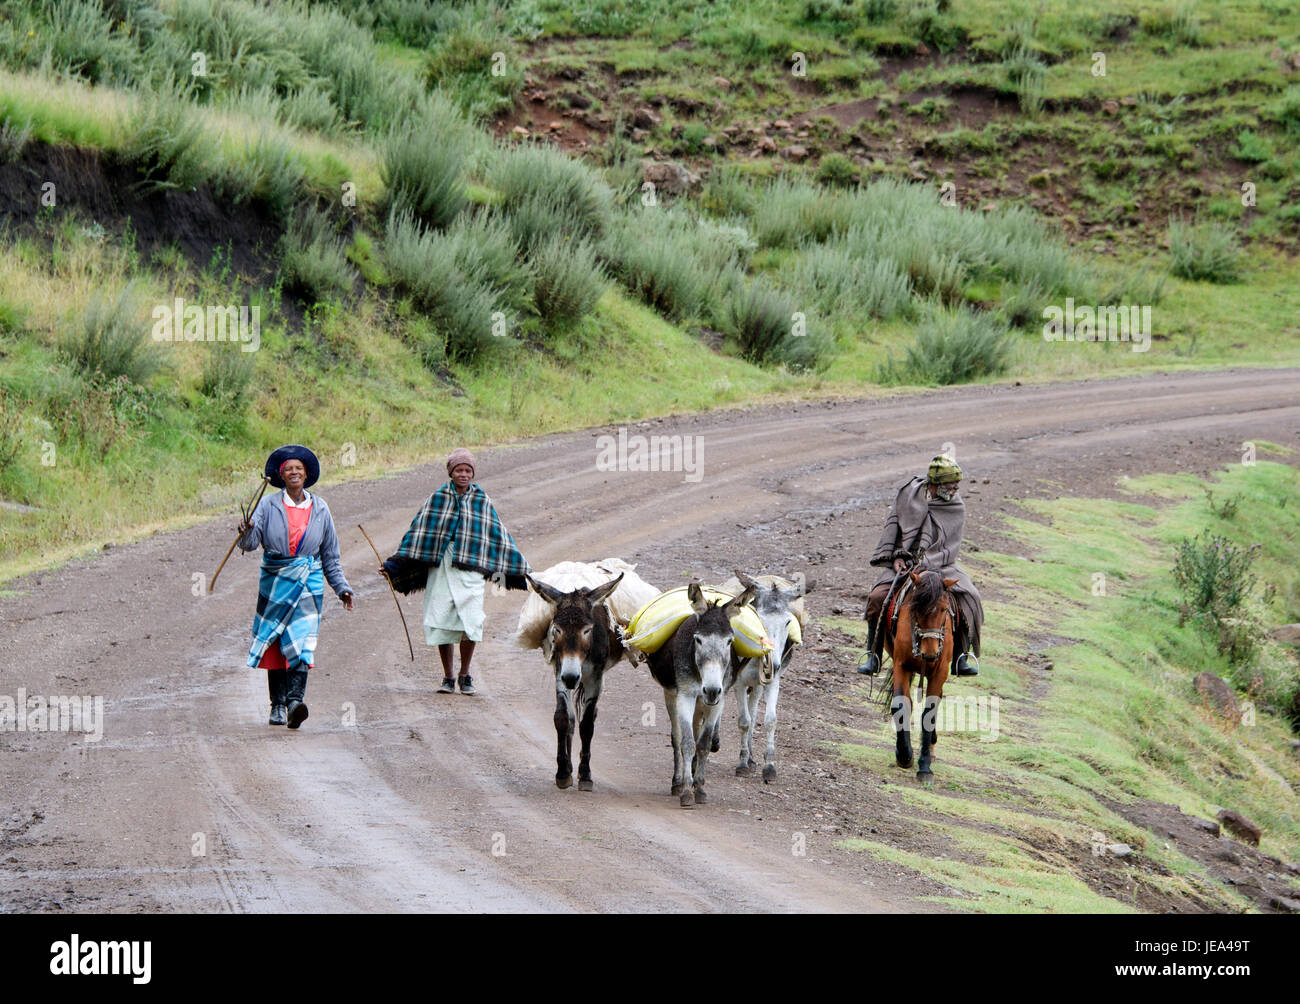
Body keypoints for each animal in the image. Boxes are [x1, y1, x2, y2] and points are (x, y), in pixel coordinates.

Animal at [883, 569, 956, 780]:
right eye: (916, 610)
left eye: (943, 609)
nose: (929, 653)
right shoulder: (901, 665)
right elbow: (901, 705)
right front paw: (904, 755)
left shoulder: (940, 672)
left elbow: (929, 713)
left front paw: (924, 766)